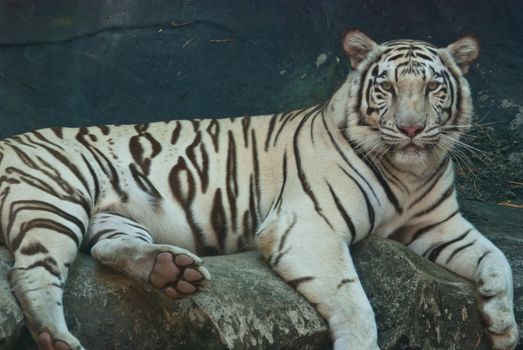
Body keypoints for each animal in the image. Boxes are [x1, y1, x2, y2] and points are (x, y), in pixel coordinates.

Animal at [0, 30, 520, 350]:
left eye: (433, 88)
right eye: (386, 89)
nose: (412, 130)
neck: (409, 172)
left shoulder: (440, 224)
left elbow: (498, 261)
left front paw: (503, 328)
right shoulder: (306, 226)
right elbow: (354, 301)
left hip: (111, 216)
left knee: (108, 248)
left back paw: (172, 272)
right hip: (53, 199)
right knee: (29, 274)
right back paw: (58, 339)